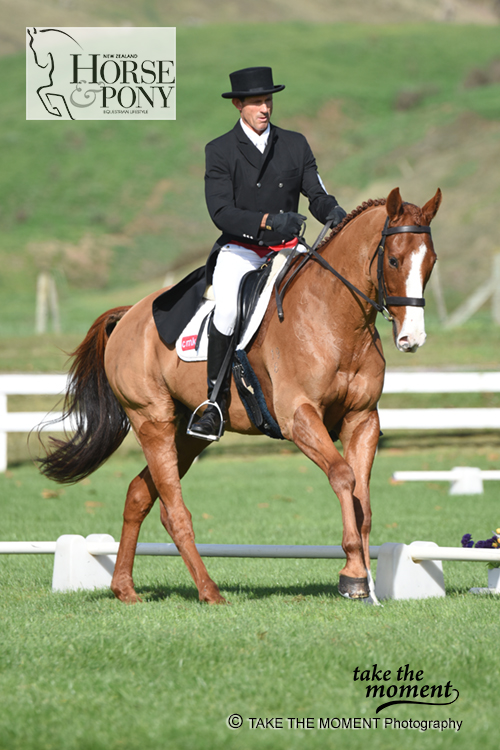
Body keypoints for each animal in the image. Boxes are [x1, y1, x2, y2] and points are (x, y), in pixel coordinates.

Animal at [40, 188, 442, 604]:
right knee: (174, 510)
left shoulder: (362, 419)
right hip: (152, 420)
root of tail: (129, 314)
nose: (412, 338)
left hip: (187, 433)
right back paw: (209, 592)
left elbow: (363, 500)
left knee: (140, 495)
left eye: (431, 262)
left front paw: (365, 581)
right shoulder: (299, 417)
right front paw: (353, 575)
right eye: (393, 259)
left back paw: (125, 589)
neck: (336, 319)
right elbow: (343, 477)